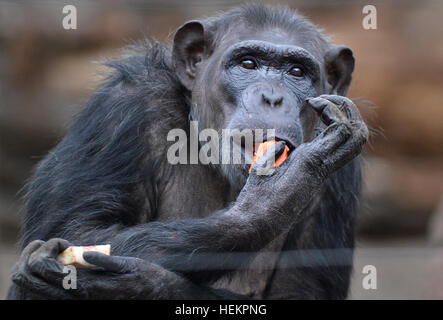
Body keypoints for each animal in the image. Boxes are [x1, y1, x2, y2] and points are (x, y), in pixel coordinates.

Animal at [6, 3, 368, 300]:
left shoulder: (339, 180)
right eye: (248, 63)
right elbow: (75, 232)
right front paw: (276, 193)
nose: (272, 97)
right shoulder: (123, 111)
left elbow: (299, 293)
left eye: (296, 72)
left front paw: (141, 283)